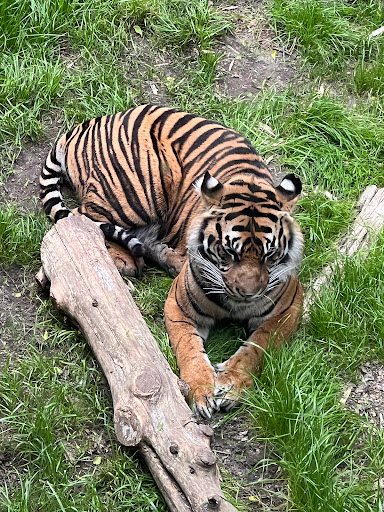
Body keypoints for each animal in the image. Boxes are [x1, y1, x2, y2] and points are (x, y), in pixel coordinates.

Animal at [40, 103, 304, 416]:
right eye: (229, 252)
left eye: (269, 255)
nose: (247, 294)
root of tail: (89, 123)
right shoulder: (179, 306)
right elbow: (188, 348)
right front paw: (201, 391)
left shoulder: (287, 310)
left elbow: (257, 348)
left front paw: (230, 385)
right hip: (134, 192)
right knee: (77, 222)